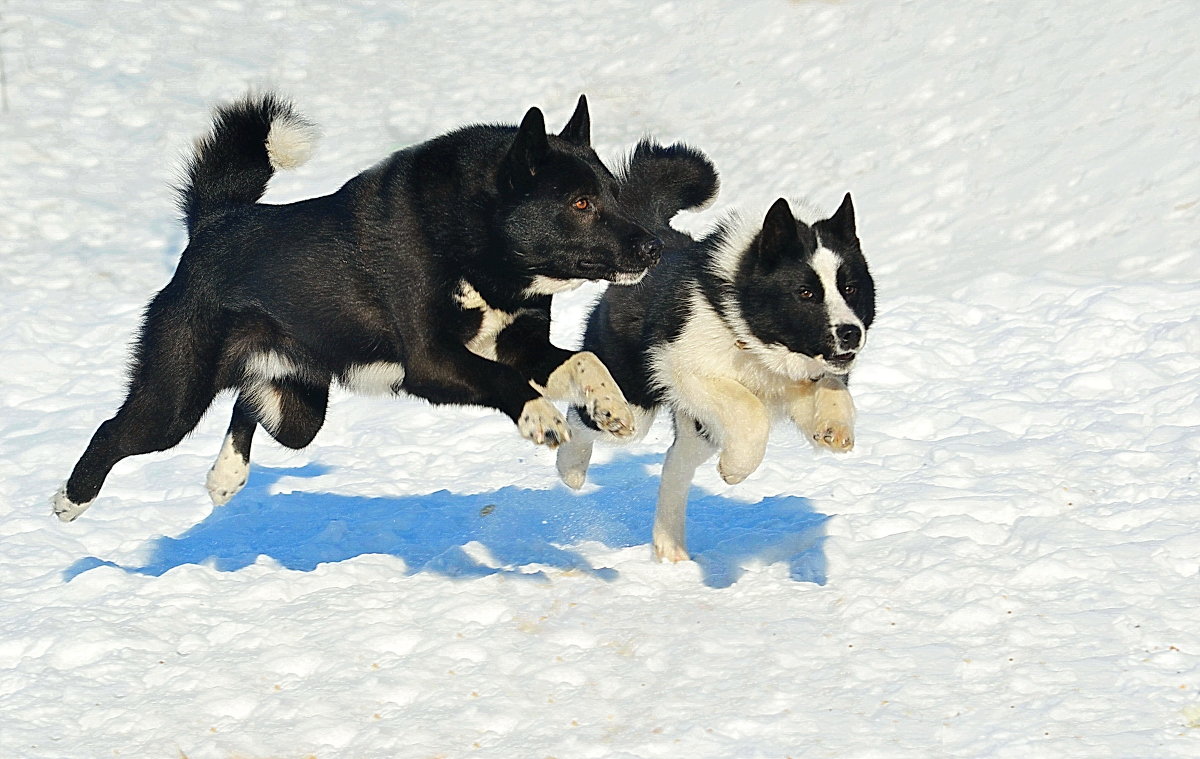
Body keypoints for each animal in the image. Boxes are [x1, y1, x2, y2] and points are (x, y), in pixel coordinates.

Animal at [51, 94, 710, 521]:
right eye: (579, 202)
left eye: (611, 194)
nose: (652, 248)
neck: (474, 240)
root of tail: (214, 222)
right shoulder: (433, 361)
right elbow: (505, 382)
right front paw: (541, 419)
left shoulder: (522, 344)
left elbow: (582, 363)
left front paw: (611, 408)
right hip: (175, 397)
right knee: (114, 430)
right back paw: (70, 500)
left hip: (299, 409)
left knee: (248, 401)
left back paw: (225, 479)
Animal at [556, 190, 878, 557]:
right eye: (806, 292)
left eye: (850, 288)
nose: (851, 333)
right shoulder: (683, 367)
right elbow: (750, 409)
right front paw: (735, 470)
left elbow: (833, 387)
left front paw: (834, 427)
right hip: (634, 399)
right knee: (584, 419)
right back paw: (572, 469)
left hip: (701, 429)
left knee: (675, 463)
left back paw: (671, 550)